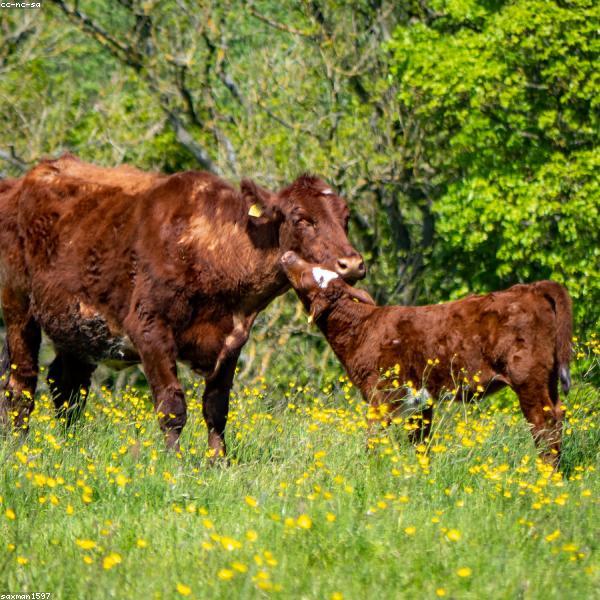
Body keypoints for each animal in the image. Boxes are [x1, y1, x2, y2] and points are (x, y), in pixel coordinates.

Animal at [0, 154, 365, 457]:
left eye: (346, 216)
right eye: (302, 218)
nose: (352, 263)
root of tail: (21, 182)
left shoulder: (233, 339)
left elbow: (216, 408)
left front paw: (219, 463)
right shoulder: (148, 328)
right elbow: (172, 406)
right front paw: (174, 464)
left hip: (77, 325)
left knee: (66, 385)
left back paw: (69, 447)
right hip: (18, 307)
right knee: (21, 383)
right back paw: (20, 447)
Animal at [280, 251, 572, 466]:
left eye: (309, 274)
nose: (288, 254)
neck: (362, 328)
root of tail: (531, 288)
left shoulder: (380, 394)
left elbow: (373, 439)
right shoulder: (420, 402)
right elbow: (420, 443)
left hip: (527, 377)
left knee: (543, 421)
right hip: (548, 378)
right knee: (557, 416)